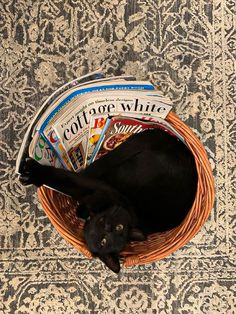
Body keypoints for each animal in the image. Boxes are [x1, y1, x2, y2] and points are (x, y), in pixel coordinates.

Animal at [19, 129, 197, 274]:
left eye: (104, 240)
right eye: (118, 227)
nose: (108, 226)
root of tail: (183, 149)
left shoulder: (95, 187)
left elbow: (63, 179)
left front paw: (35, 173)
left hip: (120, 169)